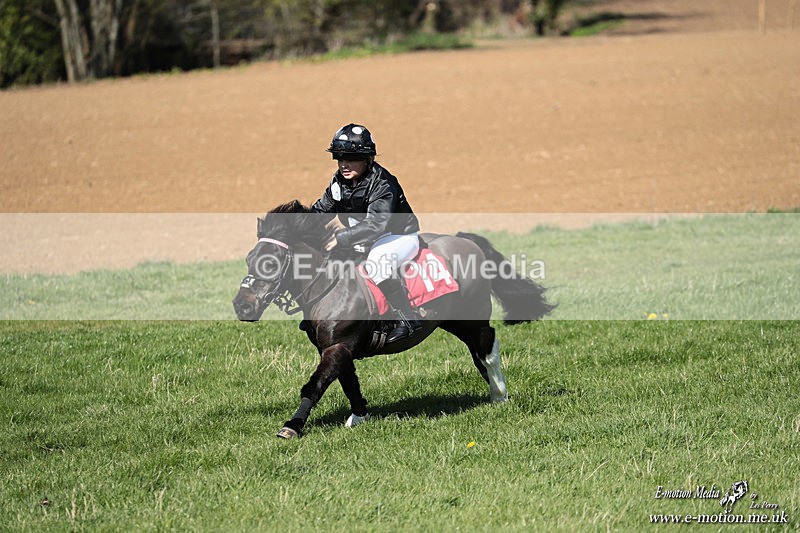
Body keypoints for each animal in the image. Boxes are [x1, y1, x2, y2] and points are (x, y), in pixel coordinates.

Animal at [232, 200, 554, 438]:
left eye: (272, 263)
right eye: (249, 259)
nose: (242, 307)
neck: (329, 285)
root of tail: (466, 242)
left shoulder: (337, 347)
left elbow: (316, 384)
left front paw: (292, 426)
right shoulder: (337, 348)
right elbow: (348, 382)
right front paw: (359, 416)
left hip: (472, 317)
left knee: (488, 348)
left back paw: (499, 394)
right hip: (452, 321)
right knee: (478, 353)